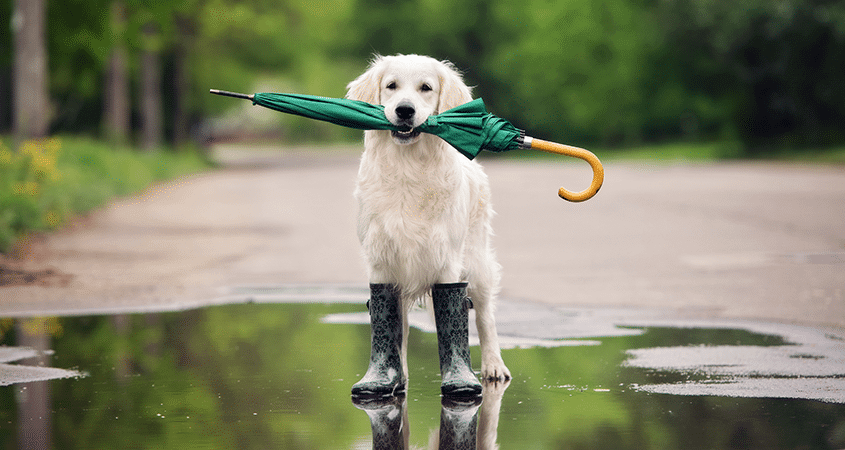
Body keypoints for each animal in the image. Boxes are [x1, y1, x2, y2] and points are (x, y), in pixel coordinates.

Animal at [346, 54, 512, 382]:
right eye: (391, 86)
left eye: (426, 88)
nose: (404, 110)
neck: (408, 167)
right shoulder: (382, 260)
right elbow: (392, 327)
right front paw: (390, 377)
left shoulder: (446, 259)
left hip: (477, 261)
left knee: (485, 315)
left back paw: (493, 365)